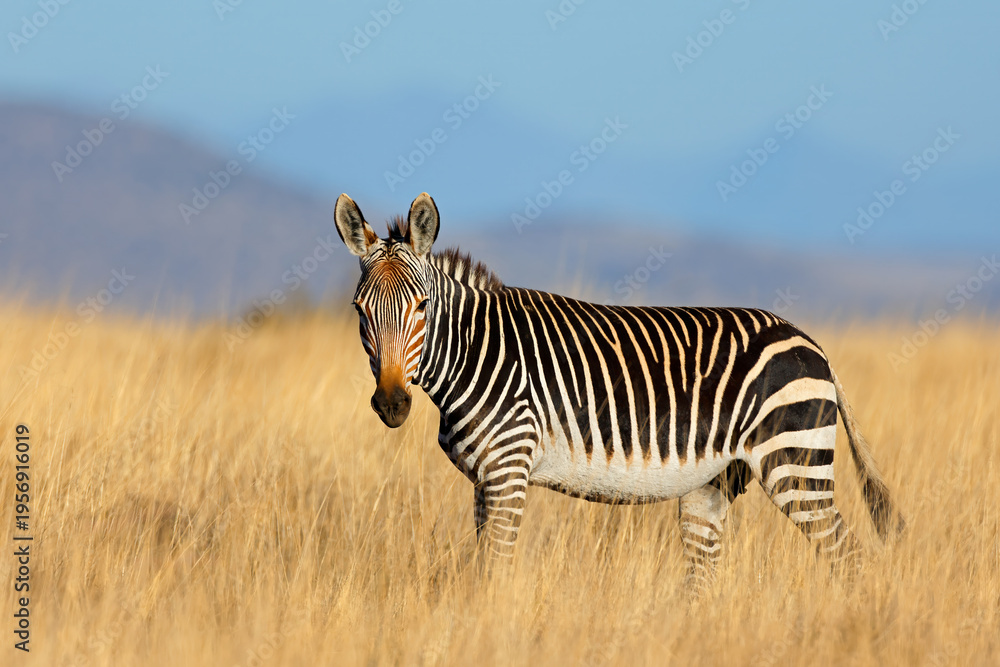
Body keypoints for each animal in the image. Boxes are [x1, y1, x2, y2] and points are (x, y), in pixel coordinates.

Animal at [335, 192, 905, 590]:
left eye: (421, 306)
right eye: (360, 311)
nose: (391, 404)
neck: (476, 353)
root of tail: (813, 344)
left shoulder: (509, 470)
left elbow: (495, 569)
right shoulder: (483, 480)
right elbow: (483, 568)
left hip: (795, 466)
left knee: (848, 559)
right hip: (713, 483)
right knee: (704, 581)